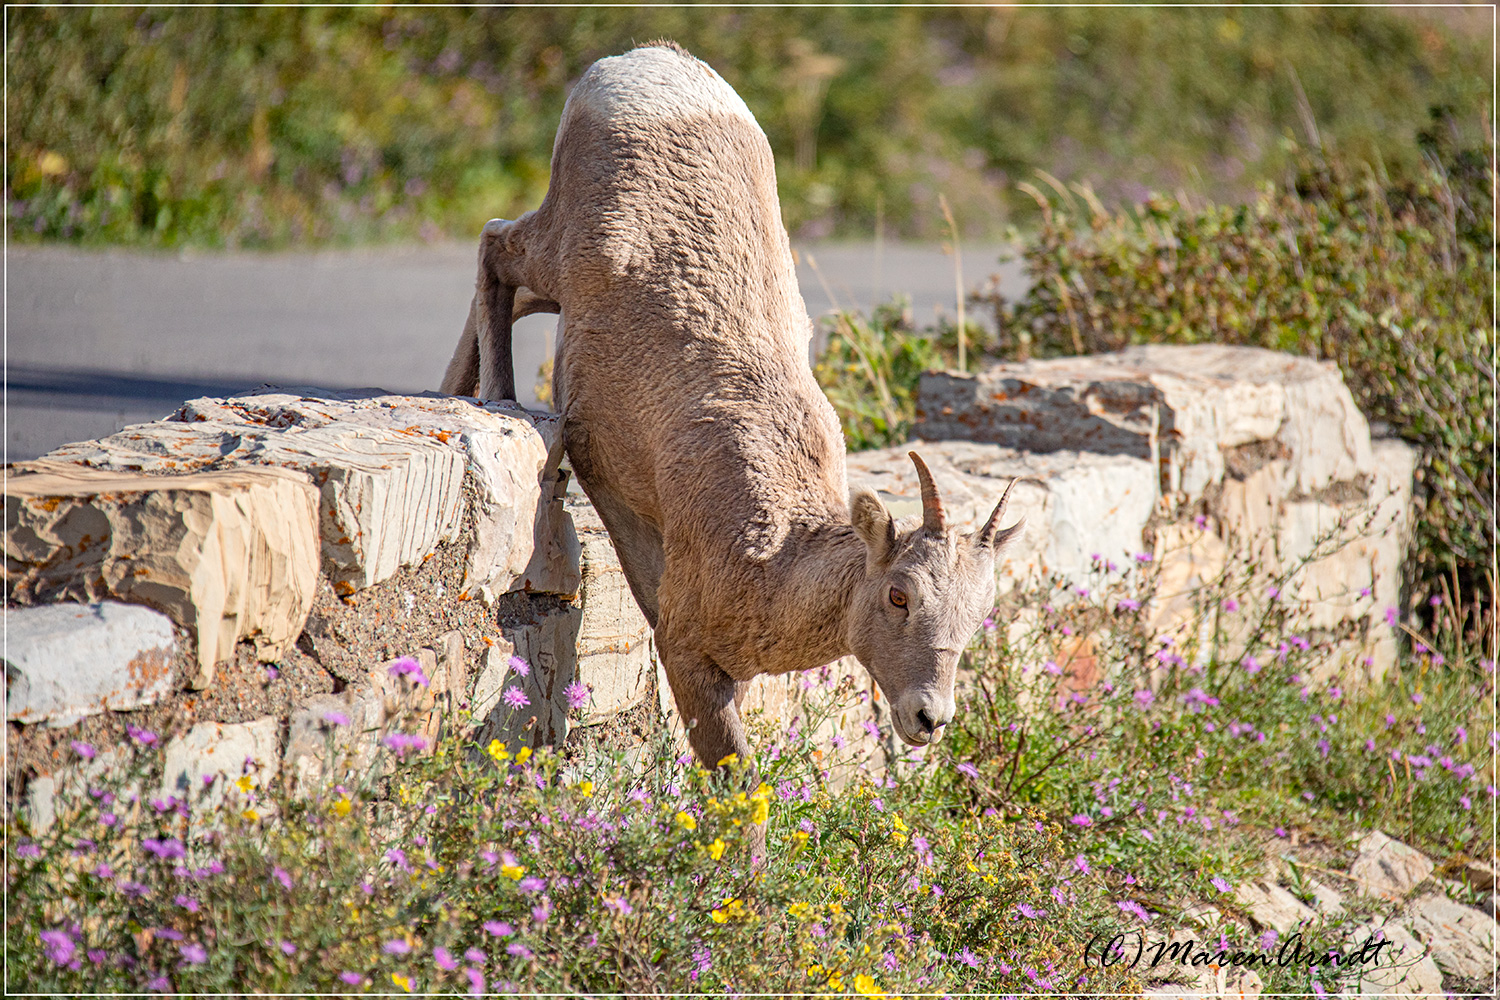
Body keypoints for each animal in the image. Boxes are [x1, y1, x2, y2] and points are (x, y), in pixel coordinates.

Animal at [444, 41, 1026, 773]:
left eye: (979, 612)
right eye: (900, 594)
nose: (929, 718)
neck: (772, 558)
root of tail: (645, 61)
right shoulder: (687, 653)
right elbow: (735, 784)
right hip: (554, 246)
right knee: (497, 245)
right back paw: (496, 396)